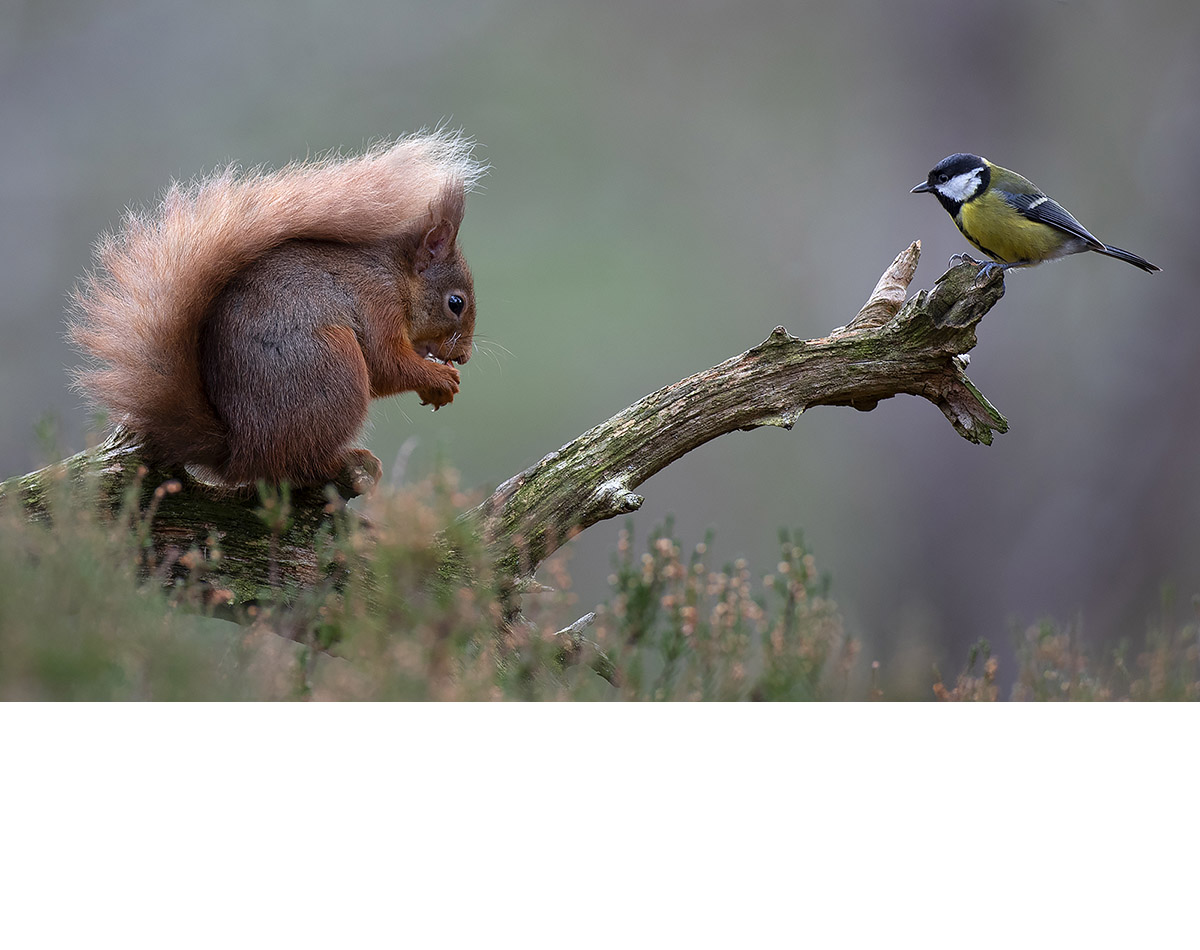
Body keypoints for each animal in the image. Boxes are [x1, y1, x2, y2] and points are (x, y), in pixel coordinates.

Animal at [68, 131, 482, 489]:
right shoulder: (377, 304)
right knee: (297, 466)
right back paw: (346, 460)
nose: (462, 357)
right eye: (456, 303)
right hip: (335, 369)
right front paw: (440, 378)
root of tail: (240, 451)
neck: (397, 277)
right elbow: (386, 363)